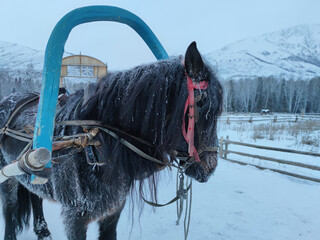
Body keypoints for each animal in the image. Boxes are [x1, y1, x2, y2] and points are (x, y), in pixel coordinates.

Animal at [0, 42, 222, 239]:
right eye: (202, 103)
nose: (210, 168)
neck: (95, 144)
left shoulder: (113, 212)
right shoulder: (75, 217)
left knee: (35, 197)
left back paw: (43, 231)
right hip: (8, 176)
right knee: (10, 209)